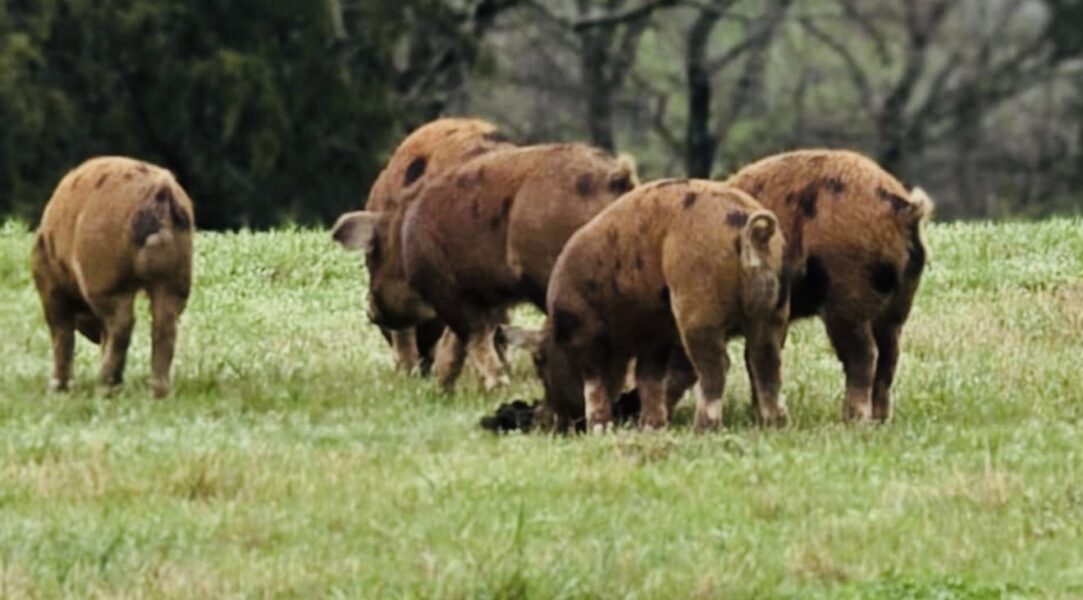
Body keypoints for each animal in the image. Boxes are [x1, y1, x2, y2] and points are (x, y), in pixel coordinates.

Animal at [31, 157, 194, 397]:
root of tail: (161, 193)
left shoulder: (50, 285)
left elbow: (61, 332)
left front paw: (57, 389)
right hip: (176, 278)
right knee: (164, 325)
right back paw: (157, 392)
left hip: (108, 279)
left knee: (122, 323)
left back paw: (106, 386)